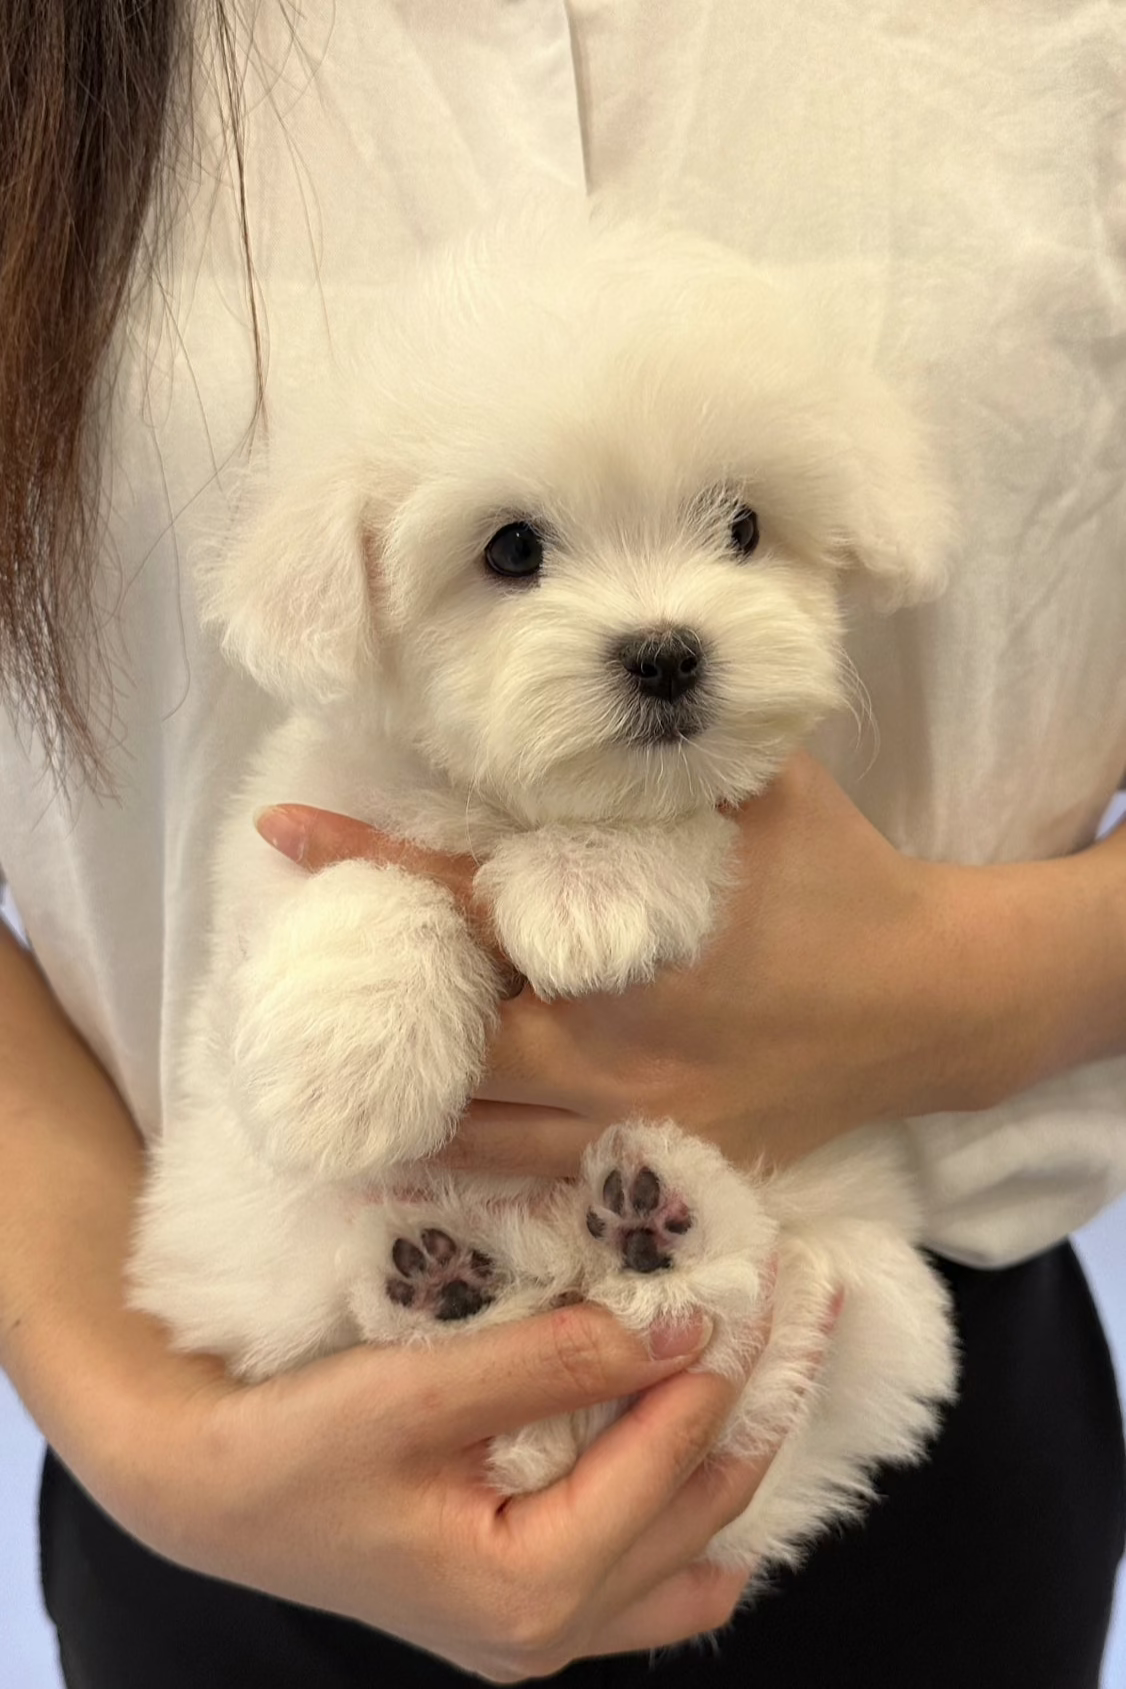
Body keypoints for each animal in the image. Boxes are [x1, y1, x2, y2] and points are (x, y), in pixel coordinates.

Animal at [132, 207, 958, 1567]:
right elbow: (365, 882)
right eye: (510, 548)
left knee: (752, 1328)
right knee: (355, 1314)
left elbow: (678, 826)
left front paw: (589, 888)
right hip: (248, 1247)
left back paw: (653, 1225)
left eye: (742, 527)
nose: (667, 654)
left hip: (858, 1288)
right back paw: (448, 1274)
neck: (512, 803)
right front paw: (350, 1067)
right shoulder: (288, 845)